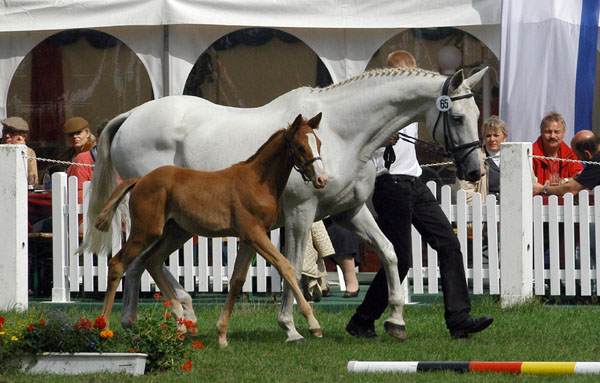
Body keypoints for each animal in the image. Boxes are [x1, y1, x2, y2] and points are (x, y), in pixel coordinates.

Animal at [95, 112, 326, 346]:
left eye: (318, 143)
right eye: (300, 147)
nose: (321, 179)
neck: (257, 182)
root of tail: (141, 180)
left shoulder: (249, 238)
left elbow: (237, 280)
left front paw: (222, 335)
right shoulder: (254, 233)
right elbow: (285, 266)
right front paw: (312, 324)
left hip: (177, 232)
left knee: (152, 260)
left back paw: (180, 320)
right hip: (146, 231)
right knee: (117, 263)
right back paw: (104, 328)